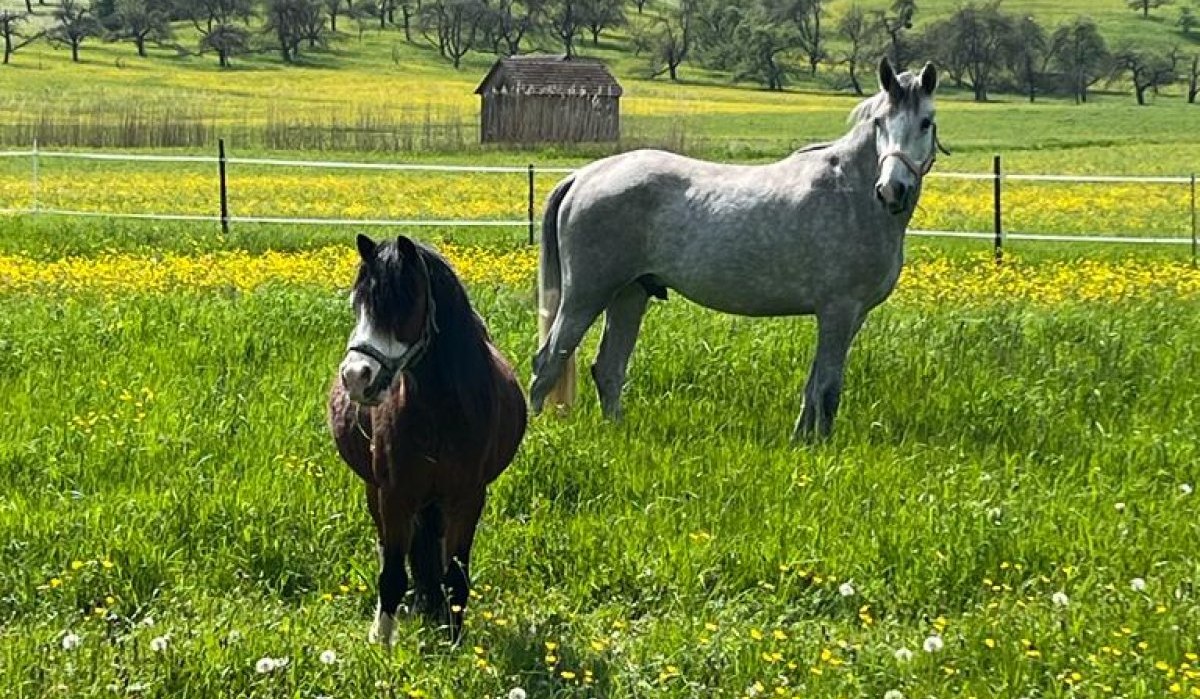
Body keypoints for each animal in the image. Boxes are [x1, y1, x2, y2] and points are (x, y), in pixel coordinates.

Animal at [328, 234, 527, 646]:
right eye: (358, 305)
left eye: (404, 303)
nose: (356, 377)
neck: (442, 409)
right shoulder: (394, 494)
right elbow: (391, 573)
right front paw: (383, 641)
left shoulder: (468, 496)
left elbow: (456, 575)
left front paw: (453, 640)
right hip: (376, 490)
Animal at [530, 57, 946, 440]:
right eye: (880, 122)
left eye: (926, 122)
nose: (892, 190)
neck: (849, 191)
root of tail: (583, 176)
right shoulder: (838, 311)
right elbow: (828, 391)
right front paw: (820, 449)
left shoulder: (850, 316)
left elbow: (813, 388)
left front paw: (801, 442)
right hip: (586, 295)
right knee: (547, 363)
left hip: (630, 294)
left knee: (608, 369)